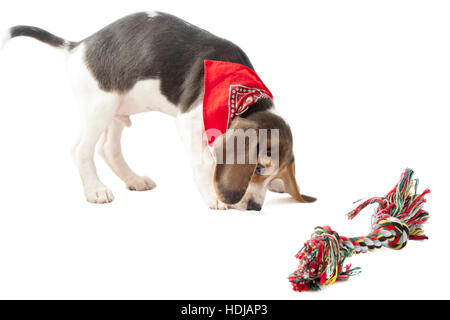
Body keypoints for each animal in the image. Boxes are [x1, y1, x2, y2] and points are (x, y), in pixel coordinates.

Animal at [1, 11, 314, 210]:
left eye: (271, 172)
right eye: (258, 167)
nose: (254, 208)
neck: (243, 93)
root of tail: (79, 46)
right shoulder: (189, 122)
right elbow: (204, 163)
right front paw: (213, 197)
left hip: (117, 110)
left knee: (108, 149)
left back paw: (134, 180)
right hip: (99, 106)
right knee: (81, 149)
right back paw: (95, 190)